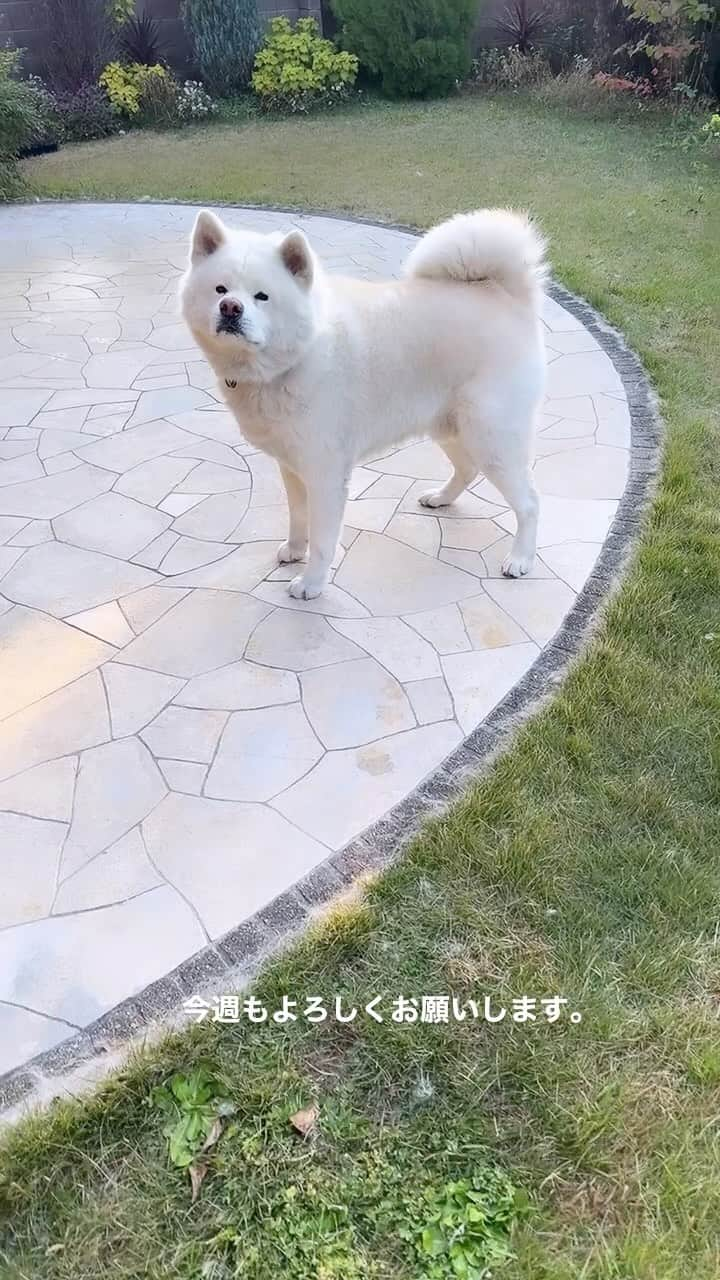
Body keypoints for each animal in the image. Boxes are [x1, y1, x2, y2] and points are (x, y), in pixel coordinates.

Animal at [179, 208, 543, 599]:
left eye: (262, 296)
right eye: (220, 289)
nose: (230, 308)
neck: (300, 355)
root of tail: (505, 297)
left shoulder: (325, 473)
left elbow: (323, 539)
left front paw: (311, 583)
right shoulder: (292, 465)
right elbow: (298, 517)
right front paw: (294, 550)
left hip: (492, 440)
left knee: (530, 503)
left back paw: (521, 559)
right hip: (451, 427)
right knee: (467, 469)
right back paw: (441, 497)